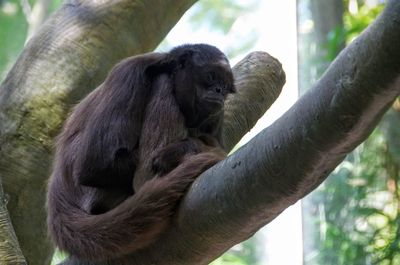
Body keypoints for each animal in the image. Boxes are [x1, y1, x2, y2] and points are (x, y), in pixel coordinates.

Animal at [46, 43, 234, 262]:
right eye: (212, 76)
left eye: (225, 85)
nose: (219, 90)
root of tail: (58, 190)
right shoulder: (129, 72)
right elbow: (94, 167)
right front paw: (187, 148)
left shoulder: (218, 112)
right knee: (162, 83)